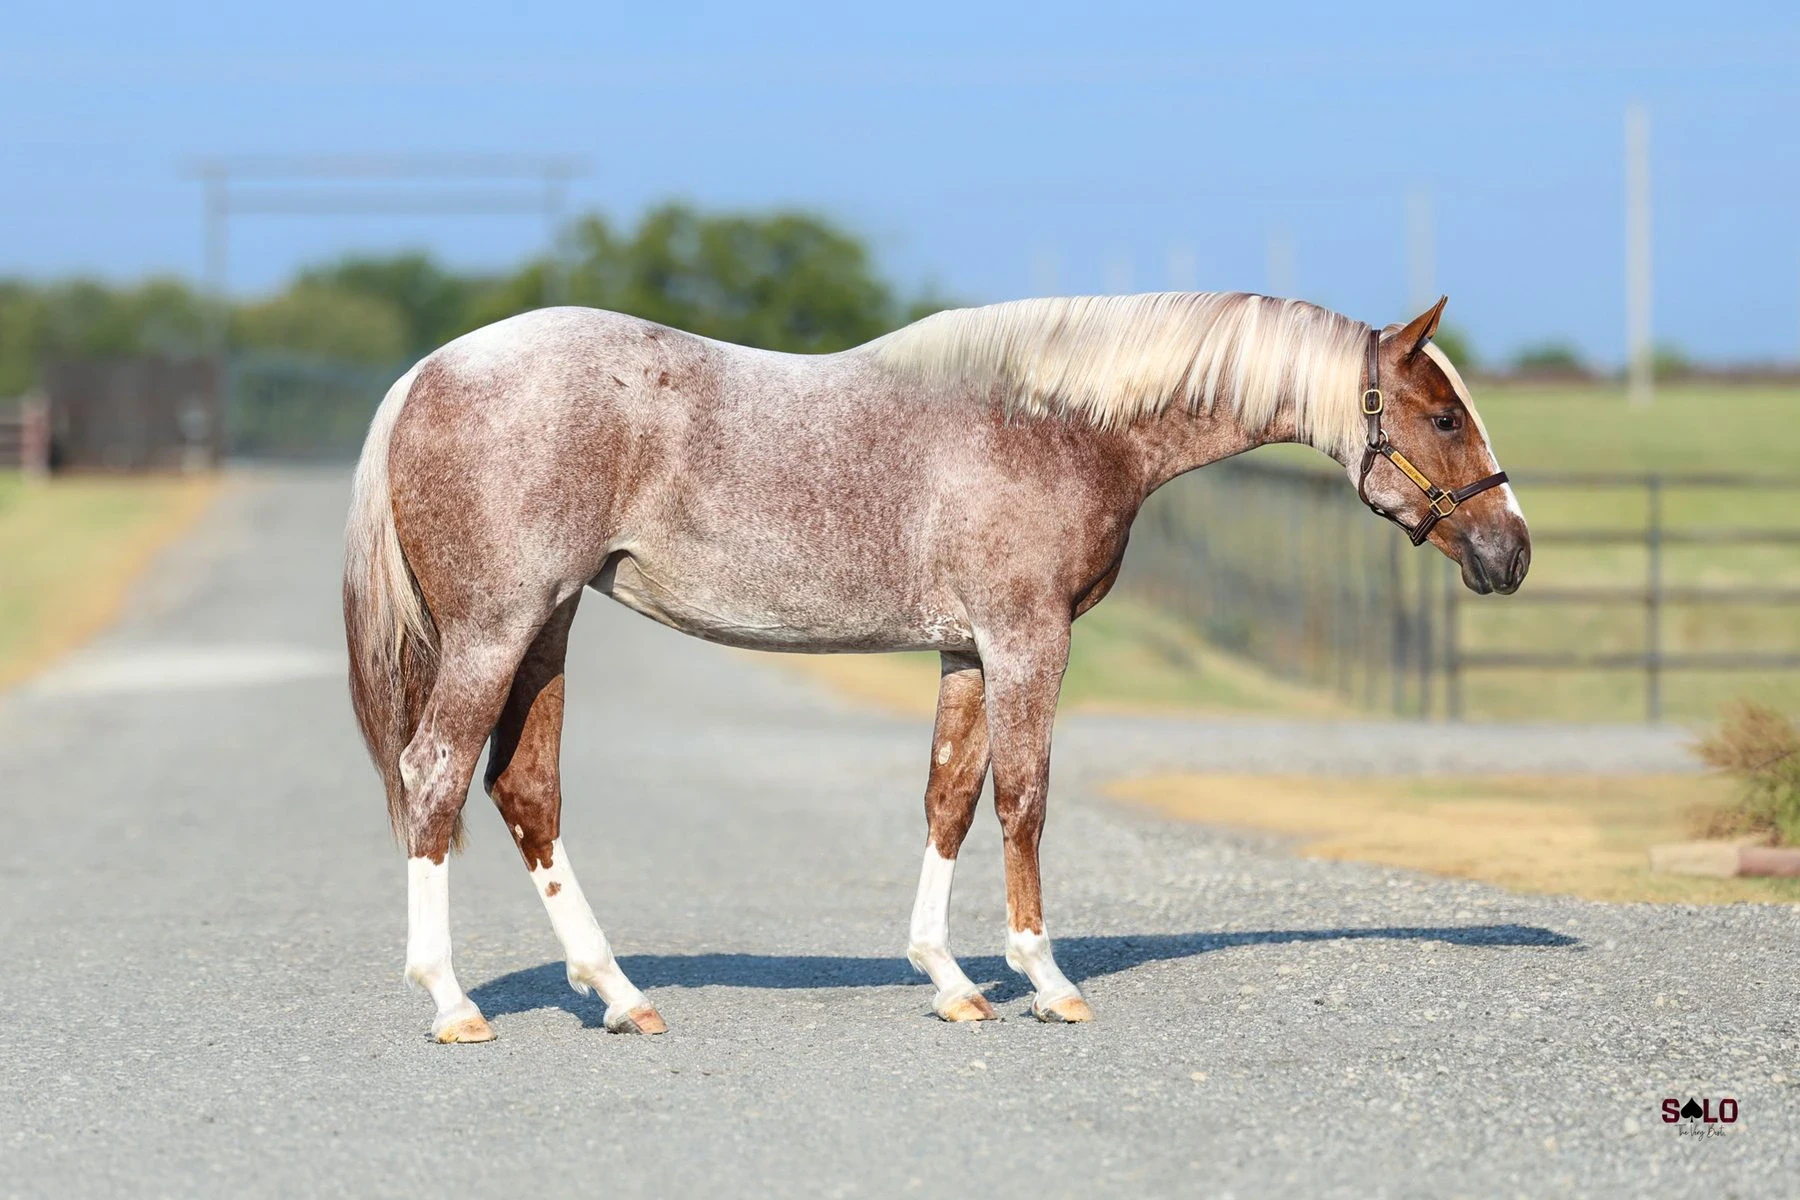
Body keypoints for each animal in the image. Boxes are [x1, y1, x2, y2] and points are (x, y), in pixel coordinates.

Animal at [343, 291, 1528, 1043]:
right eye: (1442, 414)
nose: (1511, 552)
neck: (1058, 423)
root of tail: (426, 373)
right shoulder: (1027, 638)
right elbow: (1024, 798)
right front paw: (1046, 979)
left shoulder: (966, 648)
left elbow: (949, 797)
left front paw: (952, 982)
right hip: (496, 631)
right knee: (436, 777)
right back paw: (452, 1003)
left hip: (544, 630)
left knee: (525, 791)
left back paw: (619, 994)